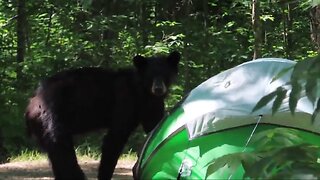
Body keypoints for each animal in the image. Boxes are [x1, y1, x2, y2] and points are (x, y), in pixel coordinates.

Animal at [25, 51, 180, 180]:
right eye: (150, 76)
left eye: (165, 74)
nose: (158, 88)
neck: (143, 92)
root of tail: (31, 104)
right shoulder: (125, 103)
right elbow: (115, 138)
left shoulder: (152, 105)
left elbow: (155, 128)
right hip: (52, 118)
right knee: (62, 150)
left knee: (55, 156)